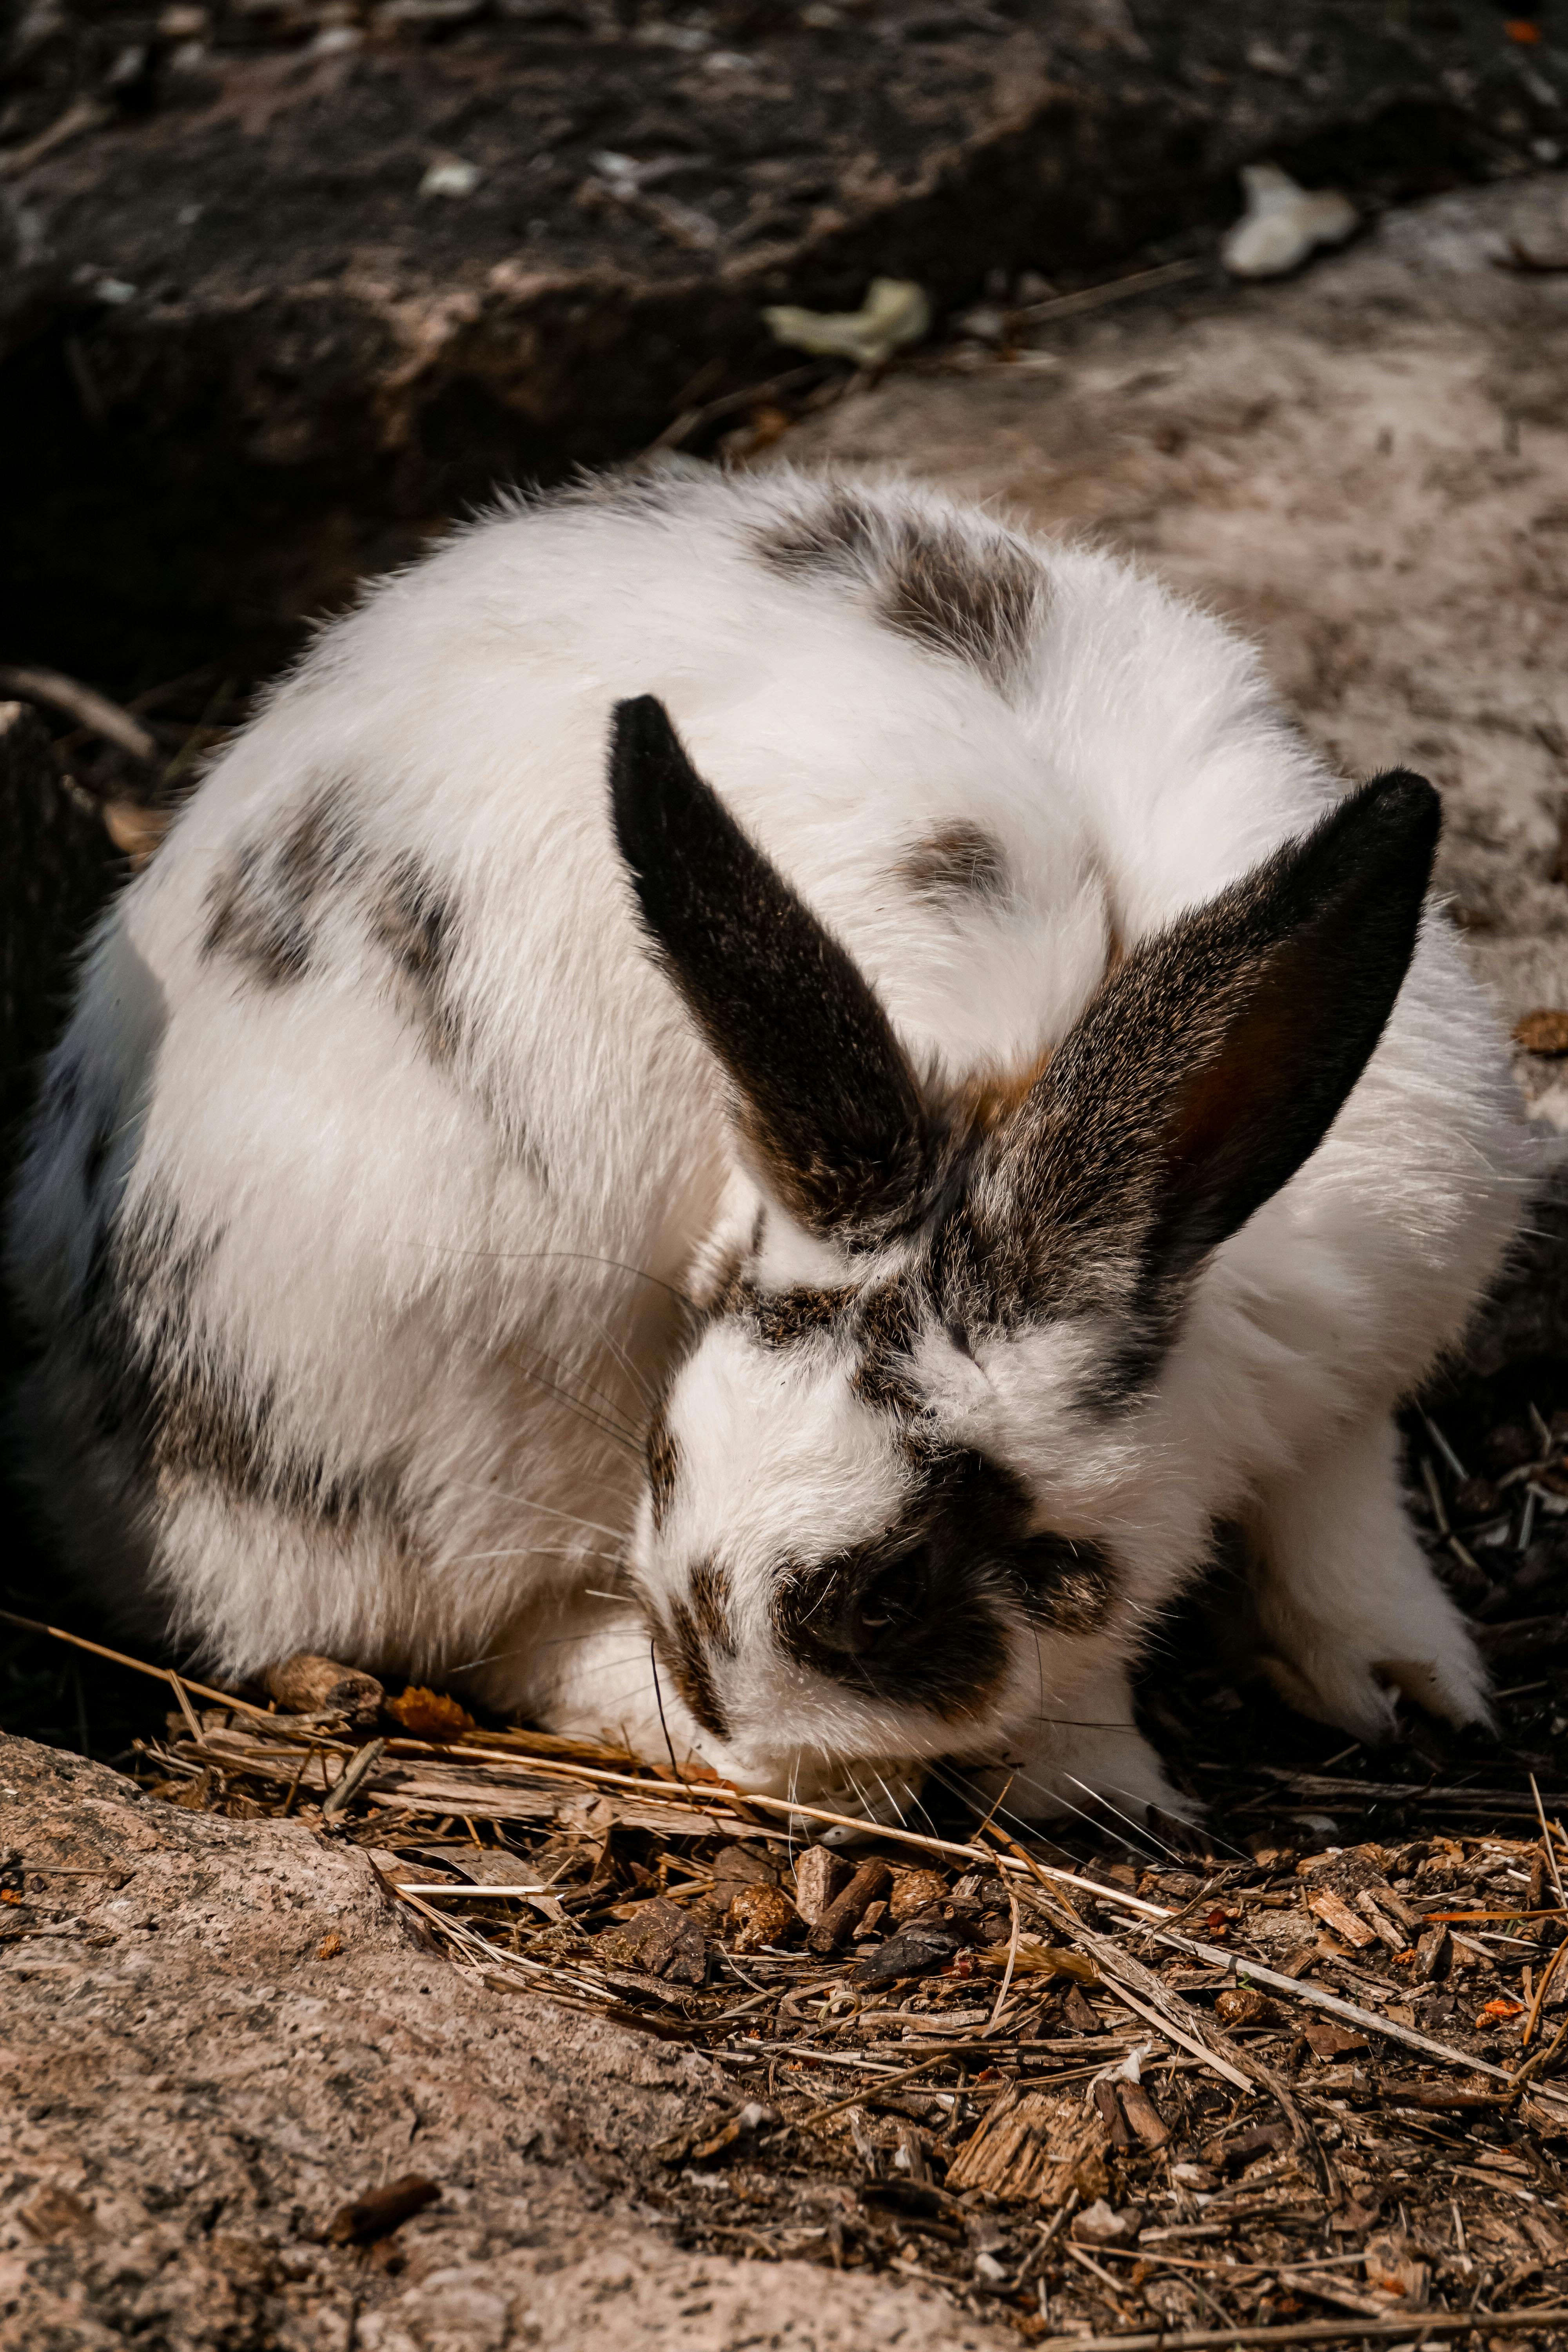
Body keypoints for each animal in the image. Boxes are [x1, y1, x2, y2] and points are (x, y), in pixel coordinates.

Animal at [0, 468, 1523, 1835]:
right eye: (665, 1461)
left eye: (886, 1593)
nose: (748, 1729)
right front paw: (1096, 1784)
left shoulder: (1357, 1345)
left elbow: (1335, 1491)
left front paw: (1406, 1682)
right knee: (461, 1633)